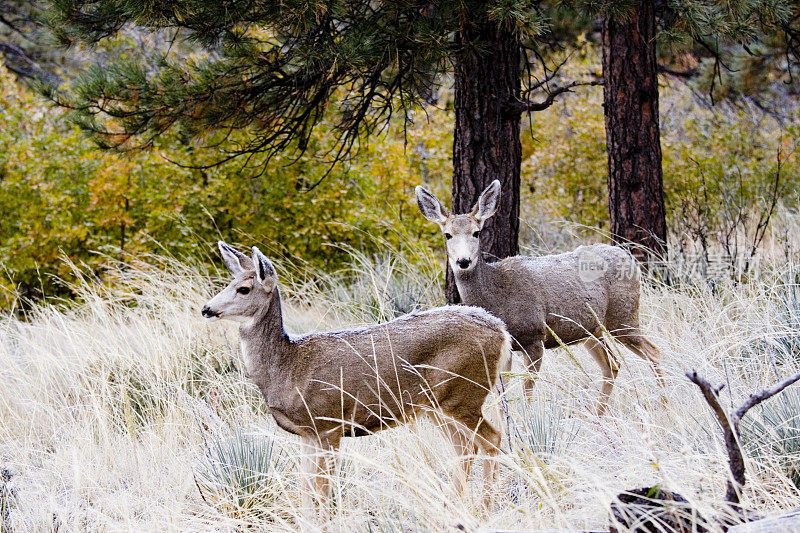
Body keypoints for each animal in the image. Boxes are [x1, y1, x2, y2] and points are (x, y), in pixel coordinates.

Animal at [202, 241, 512, 520]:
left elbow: (322, 492)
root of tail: (501, 330)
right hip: (437, 405)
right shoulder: (307, 433)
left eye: (243, 289)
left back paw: (484, 512)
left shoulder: (328, 423)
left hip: (463, 395)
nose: (206, 309)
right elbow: (305, 490)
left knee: (492, 439)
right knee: (465, 447)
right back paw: (450, 509)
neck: (287, 368)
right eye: (229, 283)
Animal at [412, 181, 664, 414]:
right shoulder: (507, 348)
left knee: (653, 351)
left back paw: (664, 402)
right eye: (447, 234)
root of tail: (628, 257)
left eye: (476, 232)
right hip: (591, 329)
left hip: (623, 316)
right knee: (612, 364)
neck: (498, 296)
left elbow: (527, 391)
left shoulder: (534, 335)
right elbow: (502, 394)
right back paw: (598, 415)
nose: (463, 261)